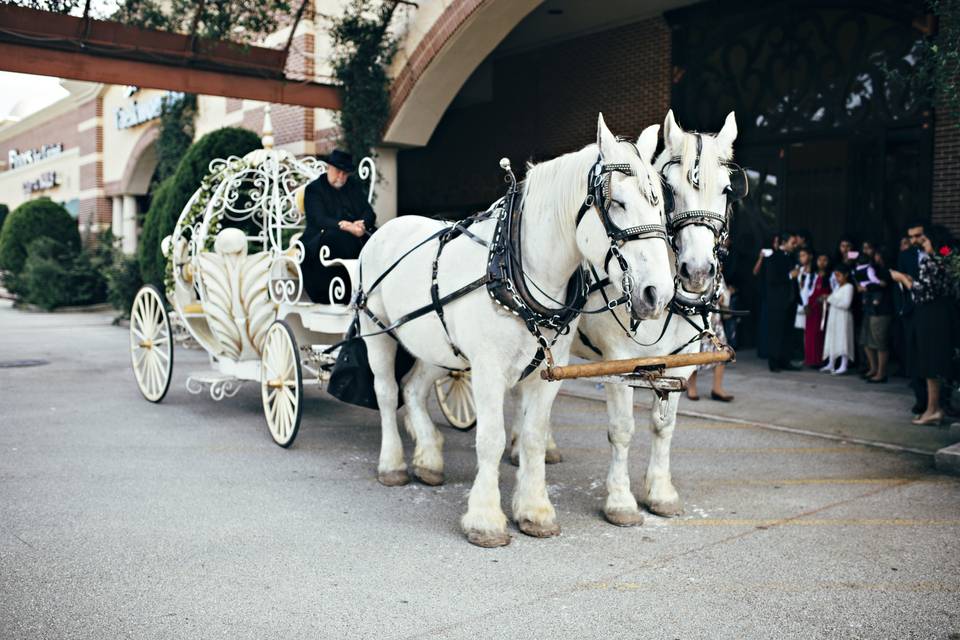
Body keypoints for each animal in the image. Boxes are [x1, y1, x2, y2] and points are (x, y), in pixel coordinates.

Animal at [356, 114, 672, 544]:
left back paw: (429, 458)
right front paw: (486, 519)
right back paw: (393, 464)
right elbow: (490, 439)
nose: (659, 293)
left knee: (414, 389)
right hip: (378, 332)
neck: (516, 267)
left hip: (439, 345)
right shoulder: (487, 368)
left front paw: (535, 511)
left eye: (660, 202)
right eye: (617, 202)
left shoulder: (548, 372)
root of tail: (387, 227)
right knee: (388, 393)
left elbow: (535, 436)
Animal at [510, 110, 744, 528]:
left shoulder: (680, 364)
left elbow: (664, 426)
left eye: (726, 190)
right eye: (670, 191)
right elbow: (622, 430)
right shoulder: (620, 362)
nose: (698, 271)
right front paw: (620, 501)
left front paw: (661, 492)